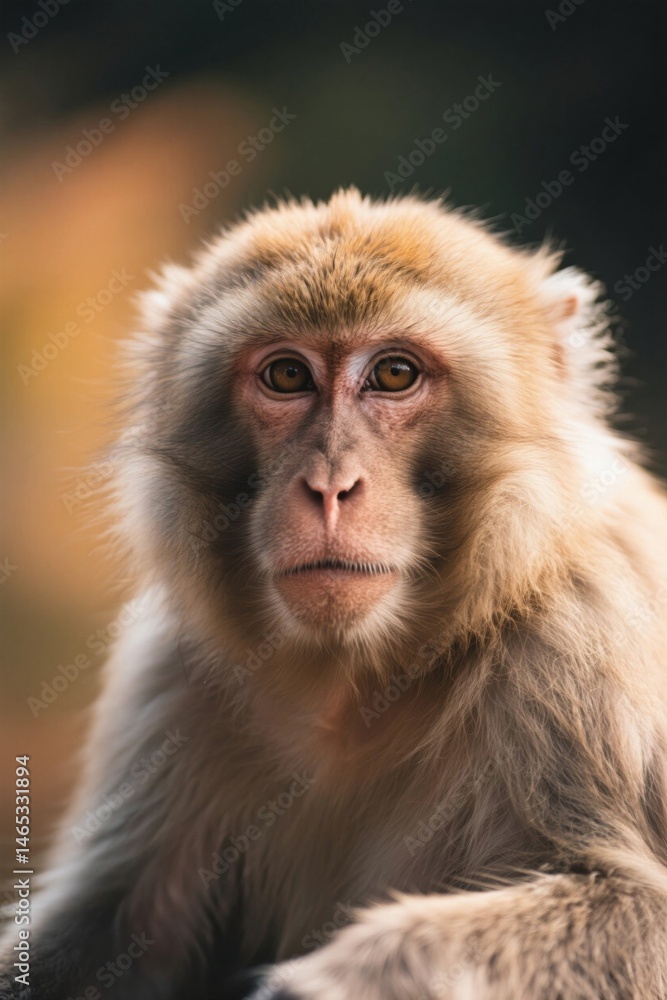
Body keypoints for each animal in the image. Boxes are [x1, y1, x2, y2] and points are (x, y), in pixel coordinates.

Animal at [3, 188, 667, 999]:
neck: (360, 683)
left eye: (393, 374)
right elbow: (112, 922)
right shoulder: (170, 672)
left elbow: (635, 905)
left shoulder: (582, 644)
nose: (328, 486)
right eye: (287, 377)